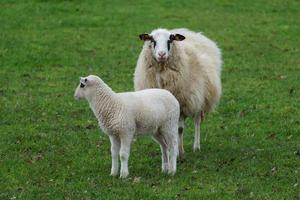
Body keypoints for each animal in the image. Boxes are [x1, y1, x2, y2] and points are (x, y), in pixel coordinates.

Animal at [135, 27, 221, 158]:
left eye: (170, 39)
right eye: (152, 40)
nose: (161, 54)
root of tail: (191, 33)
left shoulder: (182, 104)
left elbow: (179, 129)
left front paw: (179, 153)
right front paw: (169, 151)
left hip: (199, 98)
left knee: (197, 122)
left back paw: (196, 146)